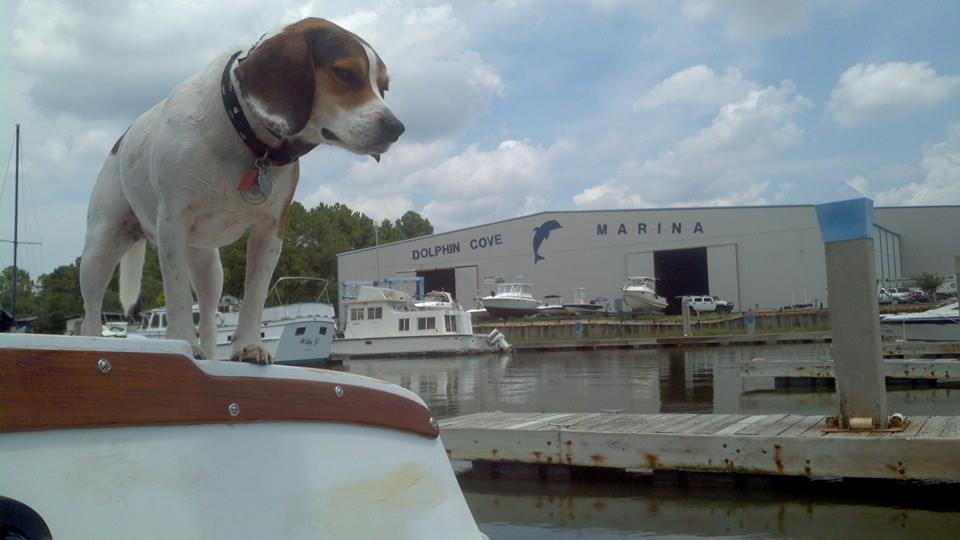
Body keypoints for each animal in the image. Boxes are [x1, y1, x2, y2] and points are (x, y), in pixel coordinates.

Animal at [78, 17, 402, 362]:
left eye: (383, 87)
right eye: (346, 74)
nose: (397, 128)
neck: (246, 136)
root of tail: (119, 143)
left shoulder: (270, 231)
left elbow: (254, 297)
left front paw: (249, 345)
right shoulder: (172, 224)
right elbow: (177, 294)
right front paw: (183, 341)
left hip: (209, 266)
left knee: (208, 316)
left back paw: (209, 351)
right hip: (99, 250)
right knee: (91, 313)